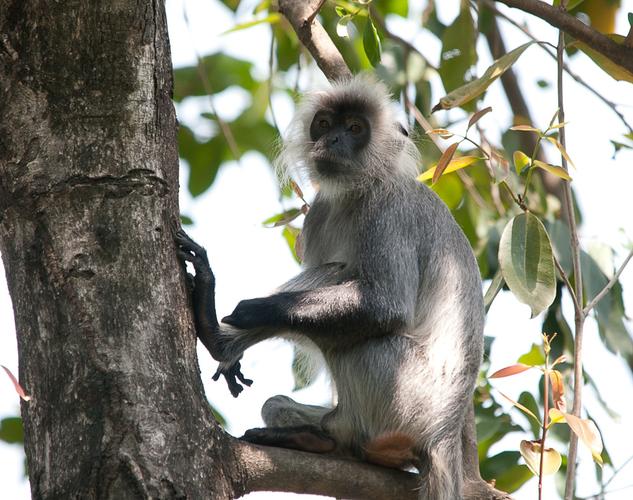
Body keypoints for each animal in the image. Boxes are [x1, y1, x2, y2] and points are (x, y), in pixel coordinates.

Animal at [178, 74, 484, 500]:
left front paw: (251, 310)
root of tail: (444, 435)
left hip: (402, 392)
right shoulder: (320, 213)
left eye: (355, 129)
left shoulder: (389, 208)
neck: (357, 191)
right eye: (324, 124)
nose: (334, 140)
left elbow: (385, 306)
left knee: (350, 313)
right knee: (277, 400)